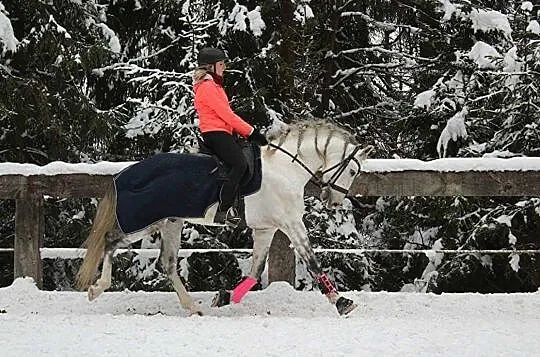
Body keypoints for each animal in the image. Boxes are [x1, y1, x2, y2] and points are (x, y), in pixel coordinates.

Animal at [77, 121, 372, 314]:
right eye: (353, 171)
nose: (334, 201)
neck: (284, 169)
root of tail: (121, 176)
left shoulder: (266, 229)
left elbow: (255, 271)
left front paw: (224, 297)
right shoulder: (290, 223)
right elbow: (312, 261)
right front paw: (342, 302)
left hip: (171, 223)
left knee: (167, 264)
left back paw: (192, 307)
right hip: (142, 222)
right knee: (110, 241)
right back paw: (97, 289)